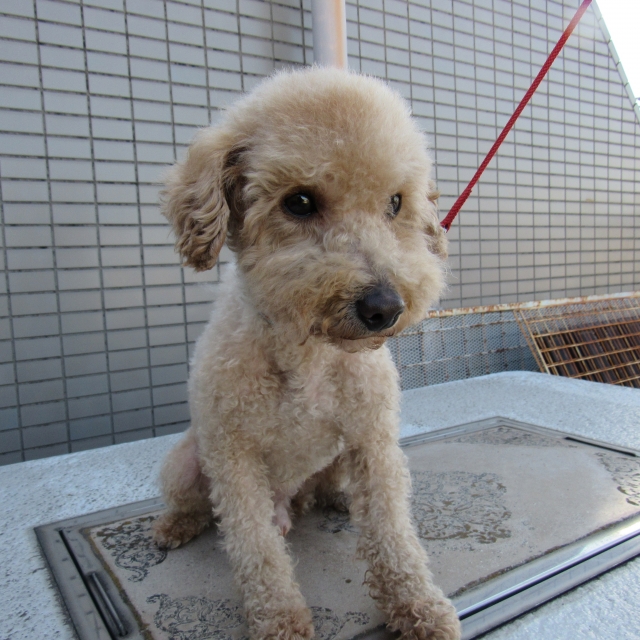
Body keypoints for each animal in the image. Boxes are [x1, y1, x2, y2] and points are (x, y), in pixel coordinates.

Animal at [152, 67, 460, 640]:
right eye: (298, 202)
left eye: (395, 203)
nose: (385, 307)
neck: (309, 352)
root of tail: (292, 496)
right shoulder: (233, 456)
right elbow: (256, 551)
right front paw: (280, 620)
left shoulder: (373, 440)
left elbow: (392, 534)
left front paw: (418, 606)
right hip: (186, 461)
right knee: (198, 503)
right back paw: (176, 523)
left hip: (336, 459)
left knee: (331, 488)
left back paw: (334, 497)